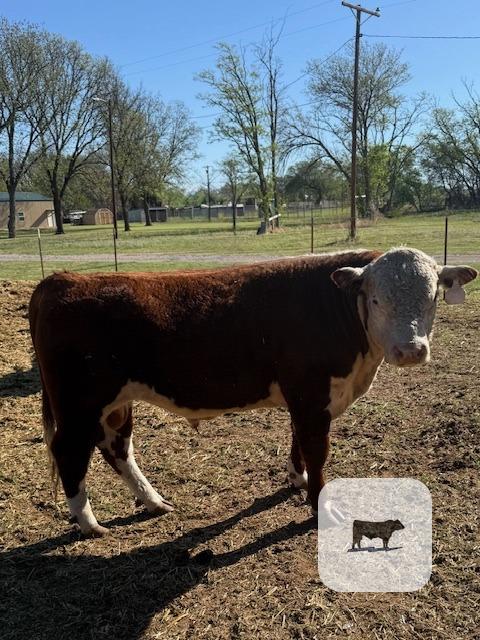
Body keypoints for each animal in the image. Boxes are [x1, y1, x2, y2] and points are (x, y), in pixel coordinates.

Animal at [28, 247, 477, 536]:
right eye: (378, 299)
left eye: (433, 297)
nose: (411, 350)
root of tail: (61, 279)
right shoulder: (311, 394)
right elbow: (317, 449)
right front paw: (319, 504)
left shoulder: (304, 398)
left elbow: (298, 441)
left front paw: (297, 479)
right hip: (79, 403)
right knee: (70, 452)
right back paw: (90, 524)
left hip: (115, 403)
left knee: (117, 447)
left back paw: (154, 502)